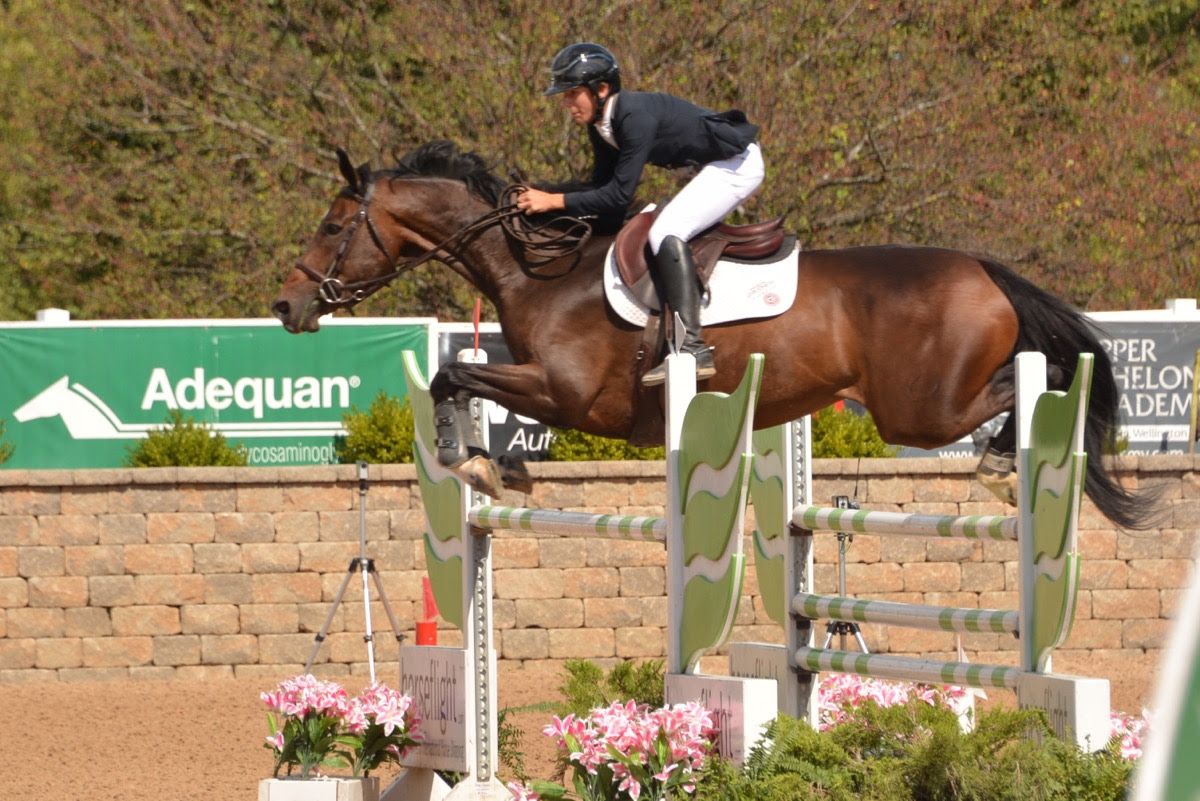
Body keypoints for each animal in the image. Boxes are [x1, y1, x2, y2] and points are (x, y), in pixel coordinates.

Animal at [272, 140, 1155, 530]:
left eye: (332, 226)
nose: (286, 305)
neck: (540, 270)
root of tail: (982, 268)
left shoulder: (570, 395)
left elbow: (455, 374)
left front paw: (473, 462)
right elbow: (459, 376)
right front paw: (496, 466)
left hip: (921, 407)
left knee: (1030, 383)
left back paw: (1005, 467)